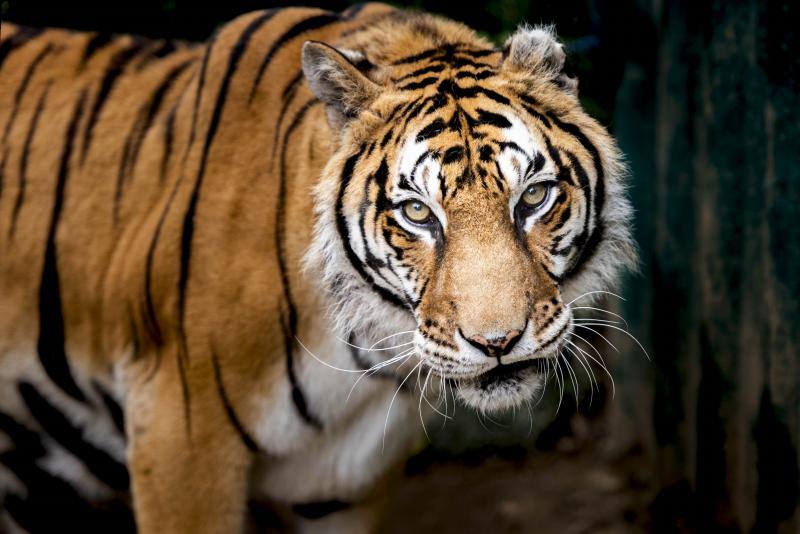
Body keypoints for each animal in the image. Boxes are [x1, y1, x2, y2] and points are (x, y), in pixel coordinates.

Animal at [0, 2, 636, 532]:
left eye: (533, 197)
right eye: (416, 212)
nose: (498, 342)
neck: (365, 353)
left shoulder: (341, 488)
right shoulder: (179, 435)